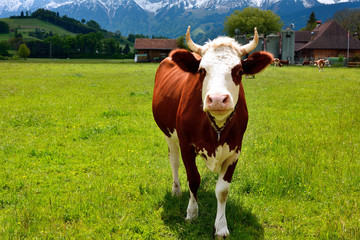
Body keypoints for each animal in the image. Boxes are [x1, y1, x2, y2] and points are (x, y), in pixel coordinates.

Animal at [152, 26, 272, 238]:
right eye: (202, 70)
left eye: (239, 70)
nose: (217, 99)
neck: (215, 128)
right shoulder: (186, 145)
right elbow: (193, 179)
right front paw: (192, 213)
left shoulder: (235, 150)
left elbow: (222, 190)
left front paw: (221, 226)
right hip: (169, 135)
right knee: (173, 160)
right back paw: (176, 190)